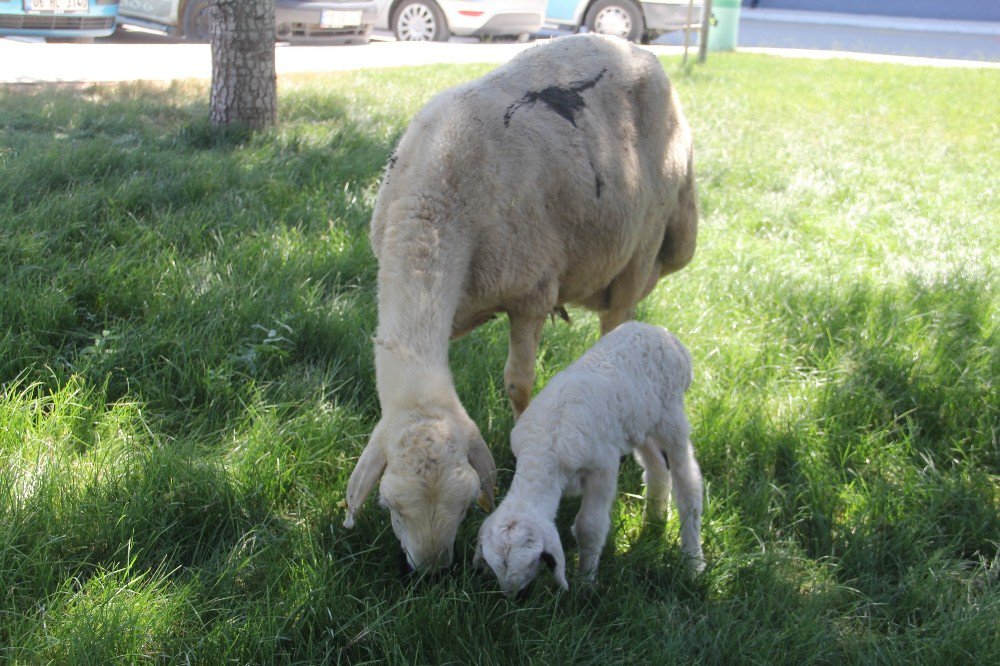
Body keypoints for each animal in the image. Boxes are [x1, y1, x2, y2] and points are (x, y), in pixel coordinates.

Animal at [342, 32, 696, 572]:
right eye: (390, 507)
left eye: (466, 504)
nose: (431, 573)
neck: (431, 208)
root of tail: (638, 49)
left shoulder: (531, 291)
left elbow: (518, 383)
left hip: (642, 243)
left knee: (619, 320)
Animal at [474, 320, 704, 592]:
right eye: (494, 565)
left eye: (532, 561)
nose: (513, 595)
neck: (545, 450)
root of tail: (665, 335)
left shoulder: (603, 467)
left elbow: (589, 526)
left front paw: (585, 583)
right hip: (639, 423)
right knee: (657, 468)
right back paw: (654, 520)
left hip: (671, 416)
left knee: (688, 484)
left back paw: (693, 563)